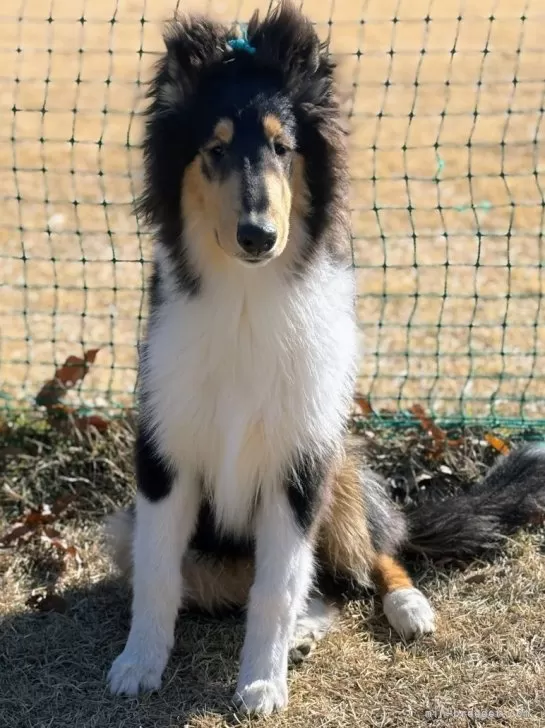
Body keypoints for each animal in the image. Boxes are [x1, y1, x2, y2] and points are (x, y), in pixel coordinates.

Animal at [108, 1, 544, 716]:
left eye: (284, 149)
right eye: (215, 150)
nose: (258, 235)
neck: (247, 296)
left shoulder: (300, 458)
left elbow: (278, 586)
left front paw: (261, 683)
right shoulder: (163, 453)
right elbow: (159, 577)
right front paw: (139, 664)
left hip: (339, 464)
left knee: (372, 556)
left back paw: (404, 606)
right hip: (125, 531)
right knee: (289, 587)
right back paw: (306, 633)